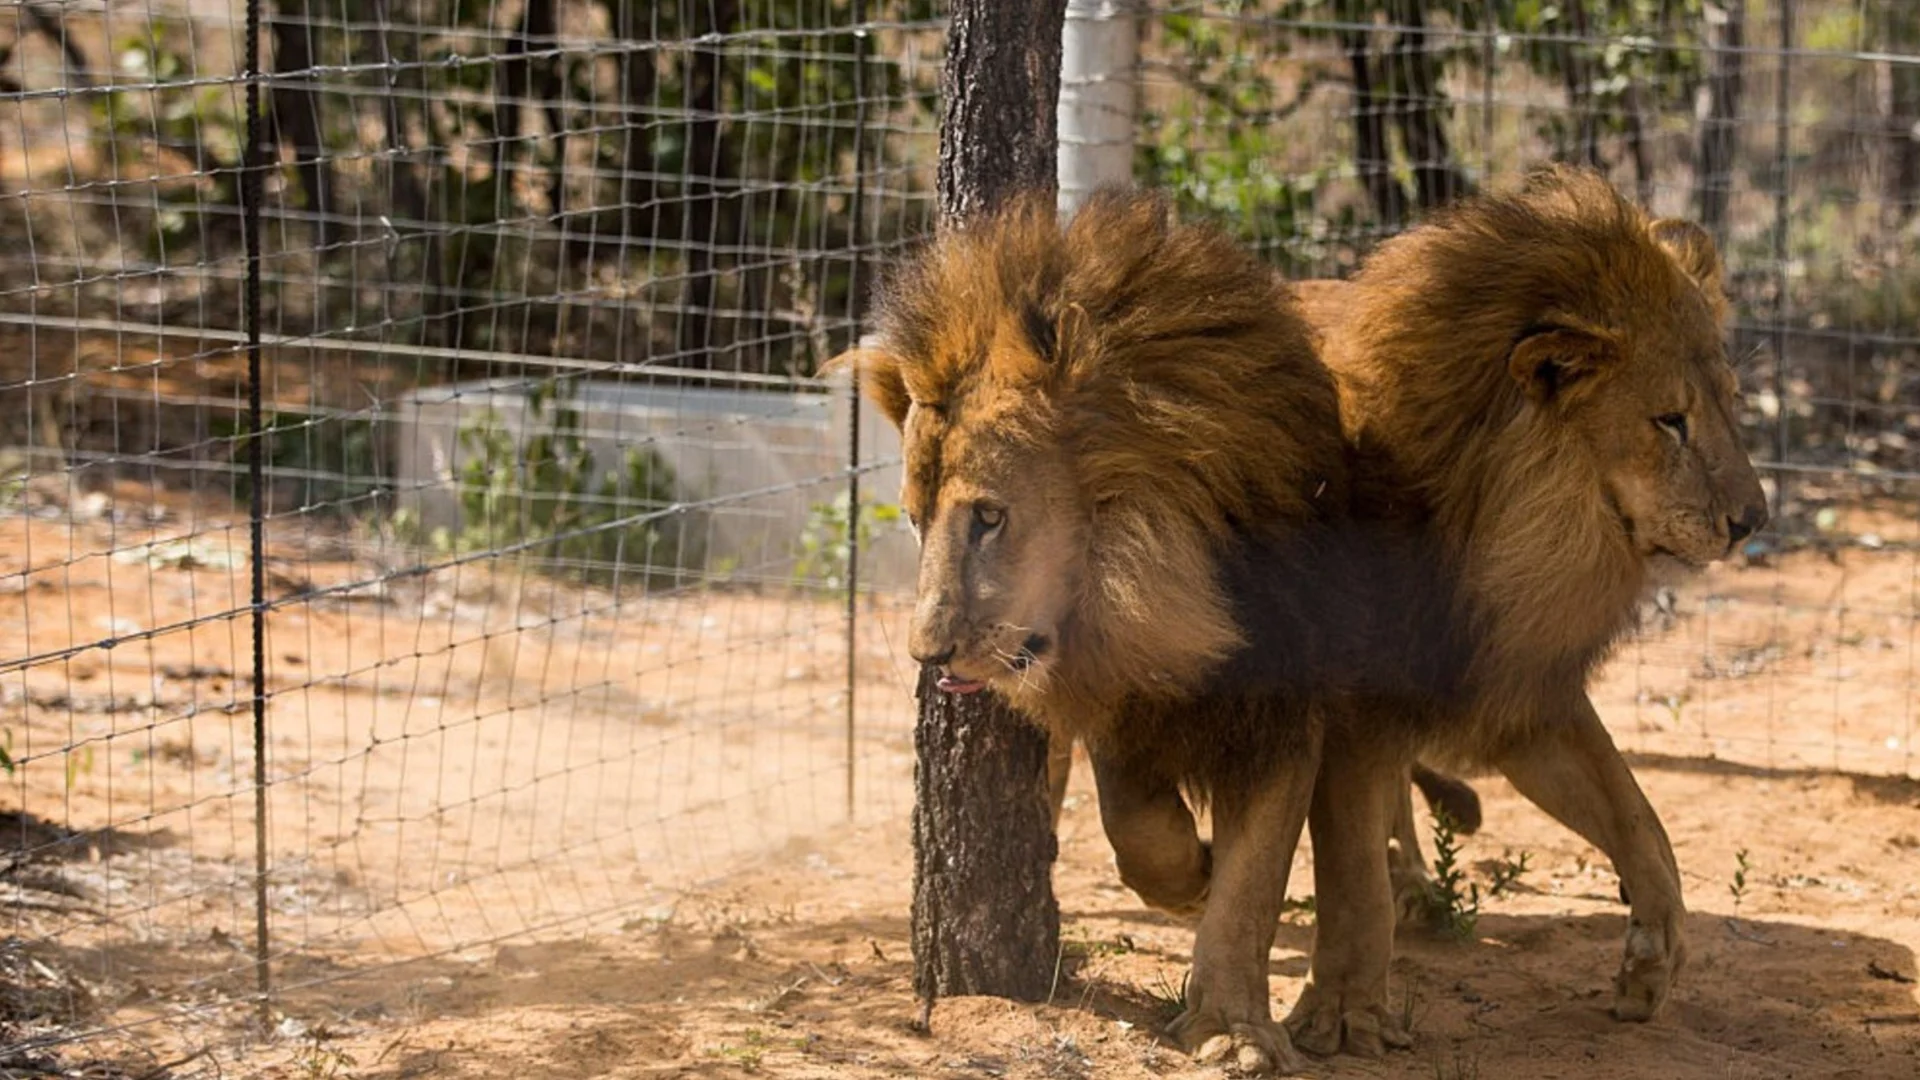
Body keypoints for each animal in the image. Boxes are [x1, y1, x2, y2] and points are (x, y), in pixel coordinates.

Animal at [837, 189, 1351, 1068]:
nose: (927, 655)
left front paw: (1234, 1031)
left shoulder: (1283, 704)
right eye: (913, 518)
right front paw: (1190, 874)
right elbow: (1134, 821)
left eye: (989, 516)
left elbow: (1252, 886)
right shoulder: (1117, 690)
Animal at [1274, 164, 1766, 1053]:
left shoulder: (1518, 682)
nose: (1755, 521)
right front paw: (1344, 1017)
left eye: (1731, 404)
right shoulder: (1357, 697)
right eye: (1668, 421)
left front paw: (1655, 956)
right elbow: (1351, 883)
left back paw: (1419, 886)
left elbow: (1637, 814)